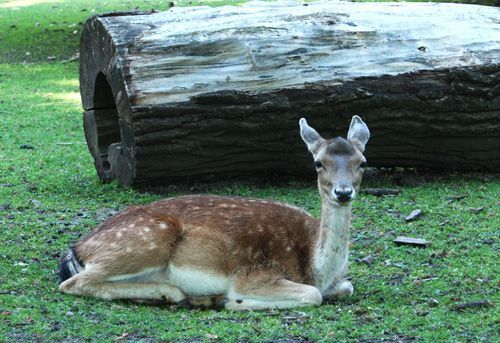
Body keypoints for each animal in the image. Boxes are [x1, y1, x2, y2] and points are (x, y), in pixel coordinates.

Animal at [59, 116, 372, 312]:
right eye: (318, 162)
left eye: (362, 162)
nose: (343, 192)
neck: (315, 268)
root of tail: (78, 249)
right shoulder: (253, 275)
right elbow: (313, 295)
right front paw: (233, 302)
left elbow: (346, 287)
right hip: (145, 242)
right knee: (73, 283)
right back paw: (183, 295)